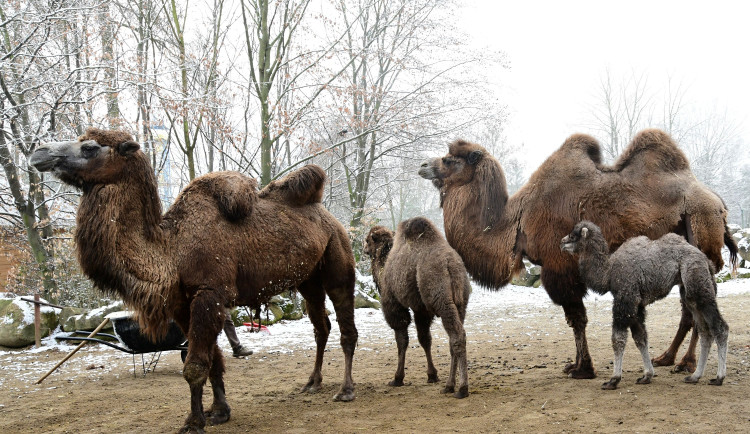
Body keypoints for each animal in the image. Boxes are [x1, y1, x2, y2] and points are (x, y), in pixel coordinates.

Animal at [29, 128, 358, 434]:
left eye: (90, 147)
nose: (38, 153)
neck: (171, 250)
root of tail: (328, 216)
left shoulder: (208, 293)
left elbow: (195, 365)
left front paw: (193, 421)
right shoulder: (181, 304)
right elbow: (213, 359)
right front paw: (219, 412)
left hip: (338, 261)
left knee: (346, 328)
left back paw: (346, 390)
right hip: (308, 280)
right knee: (321, 327)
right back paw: (312, 383)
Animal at [364, 219, 470, 398]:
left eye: (368, 240)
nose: (363, 248)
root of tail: (450, 265)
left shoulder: (394, 304)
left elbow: (402, 340)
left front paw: (397, 378)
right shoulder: (421, 310)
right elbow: (425, 339)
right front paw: (432, 375)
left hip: (441, 299)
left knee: (457, 336)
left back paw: (462, 389)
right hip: (461, 302)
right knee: (454, 337)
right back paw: (449, 386)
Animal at [424, 130, 740, 380]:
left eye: (450, 159)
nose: (424, 165)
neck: (516, 221)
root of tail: (719, 203)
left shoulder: (559, 267)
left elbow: (577, 319)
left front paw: (582, 369)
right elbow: (575, 320)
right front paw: (576, 365)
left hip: (702, 231)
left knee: (696, 303)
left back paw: (685, 363)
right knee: (689, 307)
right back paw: (668, 358)